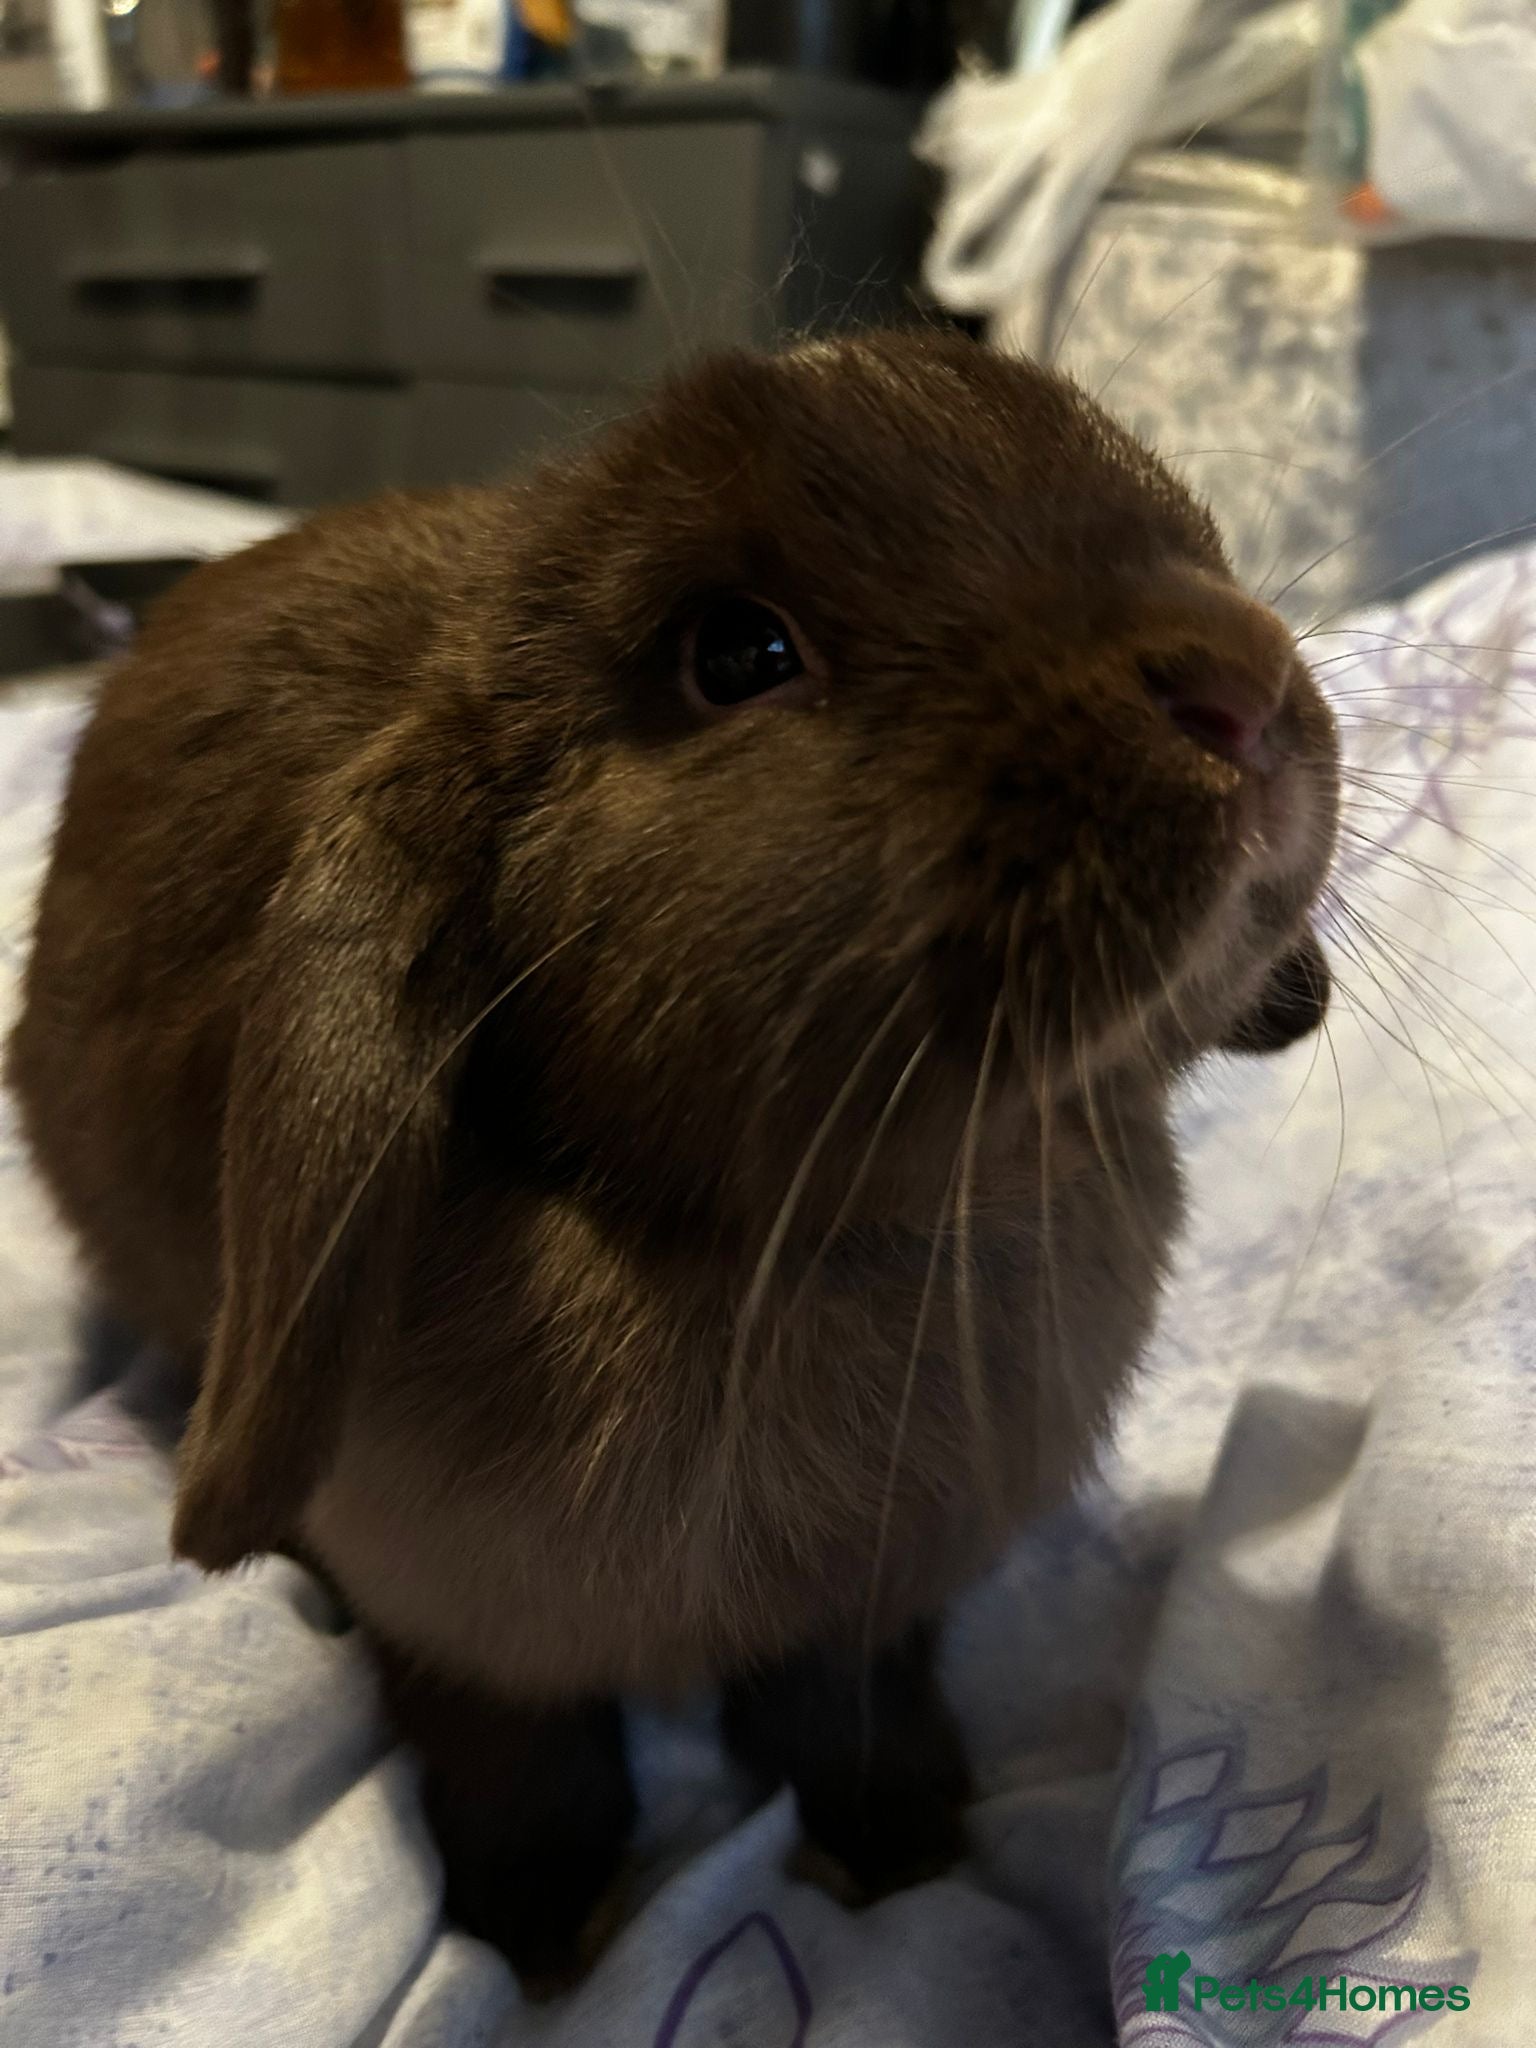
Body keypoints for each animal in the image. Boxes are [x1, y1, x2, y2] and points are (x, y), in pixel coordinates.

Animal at [5, 328, 1340, 1982]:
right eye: (741, 654)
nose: (1243, 688)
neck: (812, 1241)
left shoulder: (875, 1611)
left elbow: (855, 1712)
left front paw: (904, 1854)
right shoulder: (460, 1627)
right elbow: (522, 1761)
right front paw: (538, 1940)